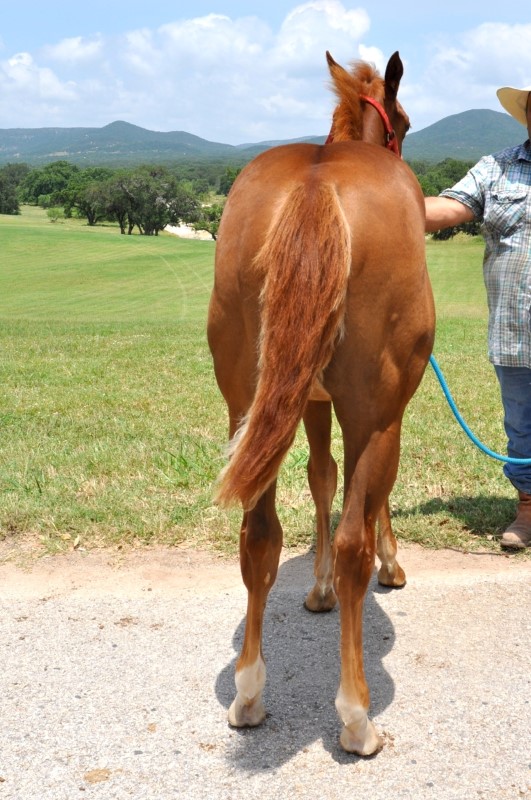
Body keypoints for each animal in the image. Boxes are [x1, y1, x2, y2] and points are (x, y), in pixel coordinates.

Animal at [206, 51, 434, 756]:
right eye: (404, 122)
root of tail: (316, 186)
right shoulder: (383, 414)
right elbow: (368, 497)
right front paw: (390, 564)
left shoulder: (305, 400)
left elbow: (320, 477)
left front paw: (318, 586)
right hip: (374, 416)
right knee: (354, 535)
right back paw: (357, 716)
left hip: (249, 409)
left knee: (257, 536)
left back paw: (249, 693)